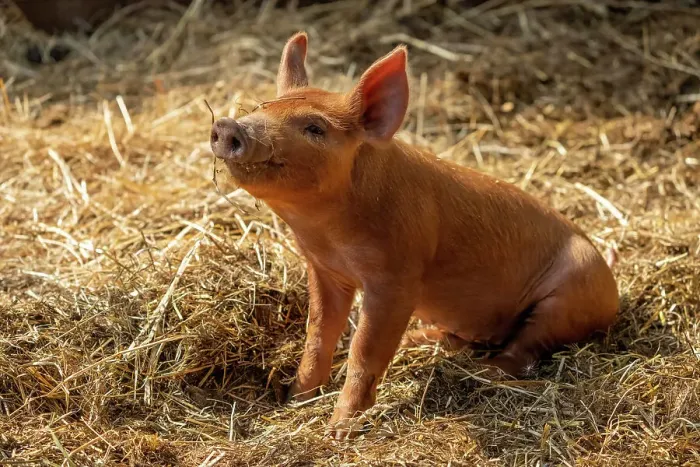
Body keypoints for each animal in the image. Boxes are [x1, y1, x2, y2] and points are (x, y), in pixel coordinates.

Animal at [209, 32, 619, 439]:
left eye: (315, 128)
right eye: (263, 106)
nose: (230, 126)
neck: (329, 235)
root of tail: (613, 291)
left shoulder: (397, 278)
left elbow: (364, 351)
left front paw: (338, 431)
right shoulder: (325, 271)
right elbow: (318, 336)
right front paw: (294, 398)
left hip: (567, 298)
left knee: (524, 351)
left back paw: (480, 374)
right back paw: (417, 339)